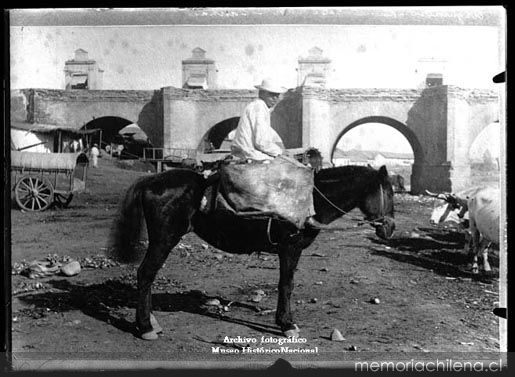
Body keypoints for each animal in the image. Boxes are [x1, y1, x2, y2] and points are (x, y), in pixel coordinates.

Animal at [108, 163, 396, 340]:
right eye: (390, 193)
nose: (390, 228)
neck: (309, 200)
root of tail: (152, 180)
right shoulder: (290, 248)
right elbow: (286, 285)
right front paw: (287, 324)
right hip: (164, 239)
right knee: (145, 274)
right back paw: (145, 327)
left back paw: (150, 321)